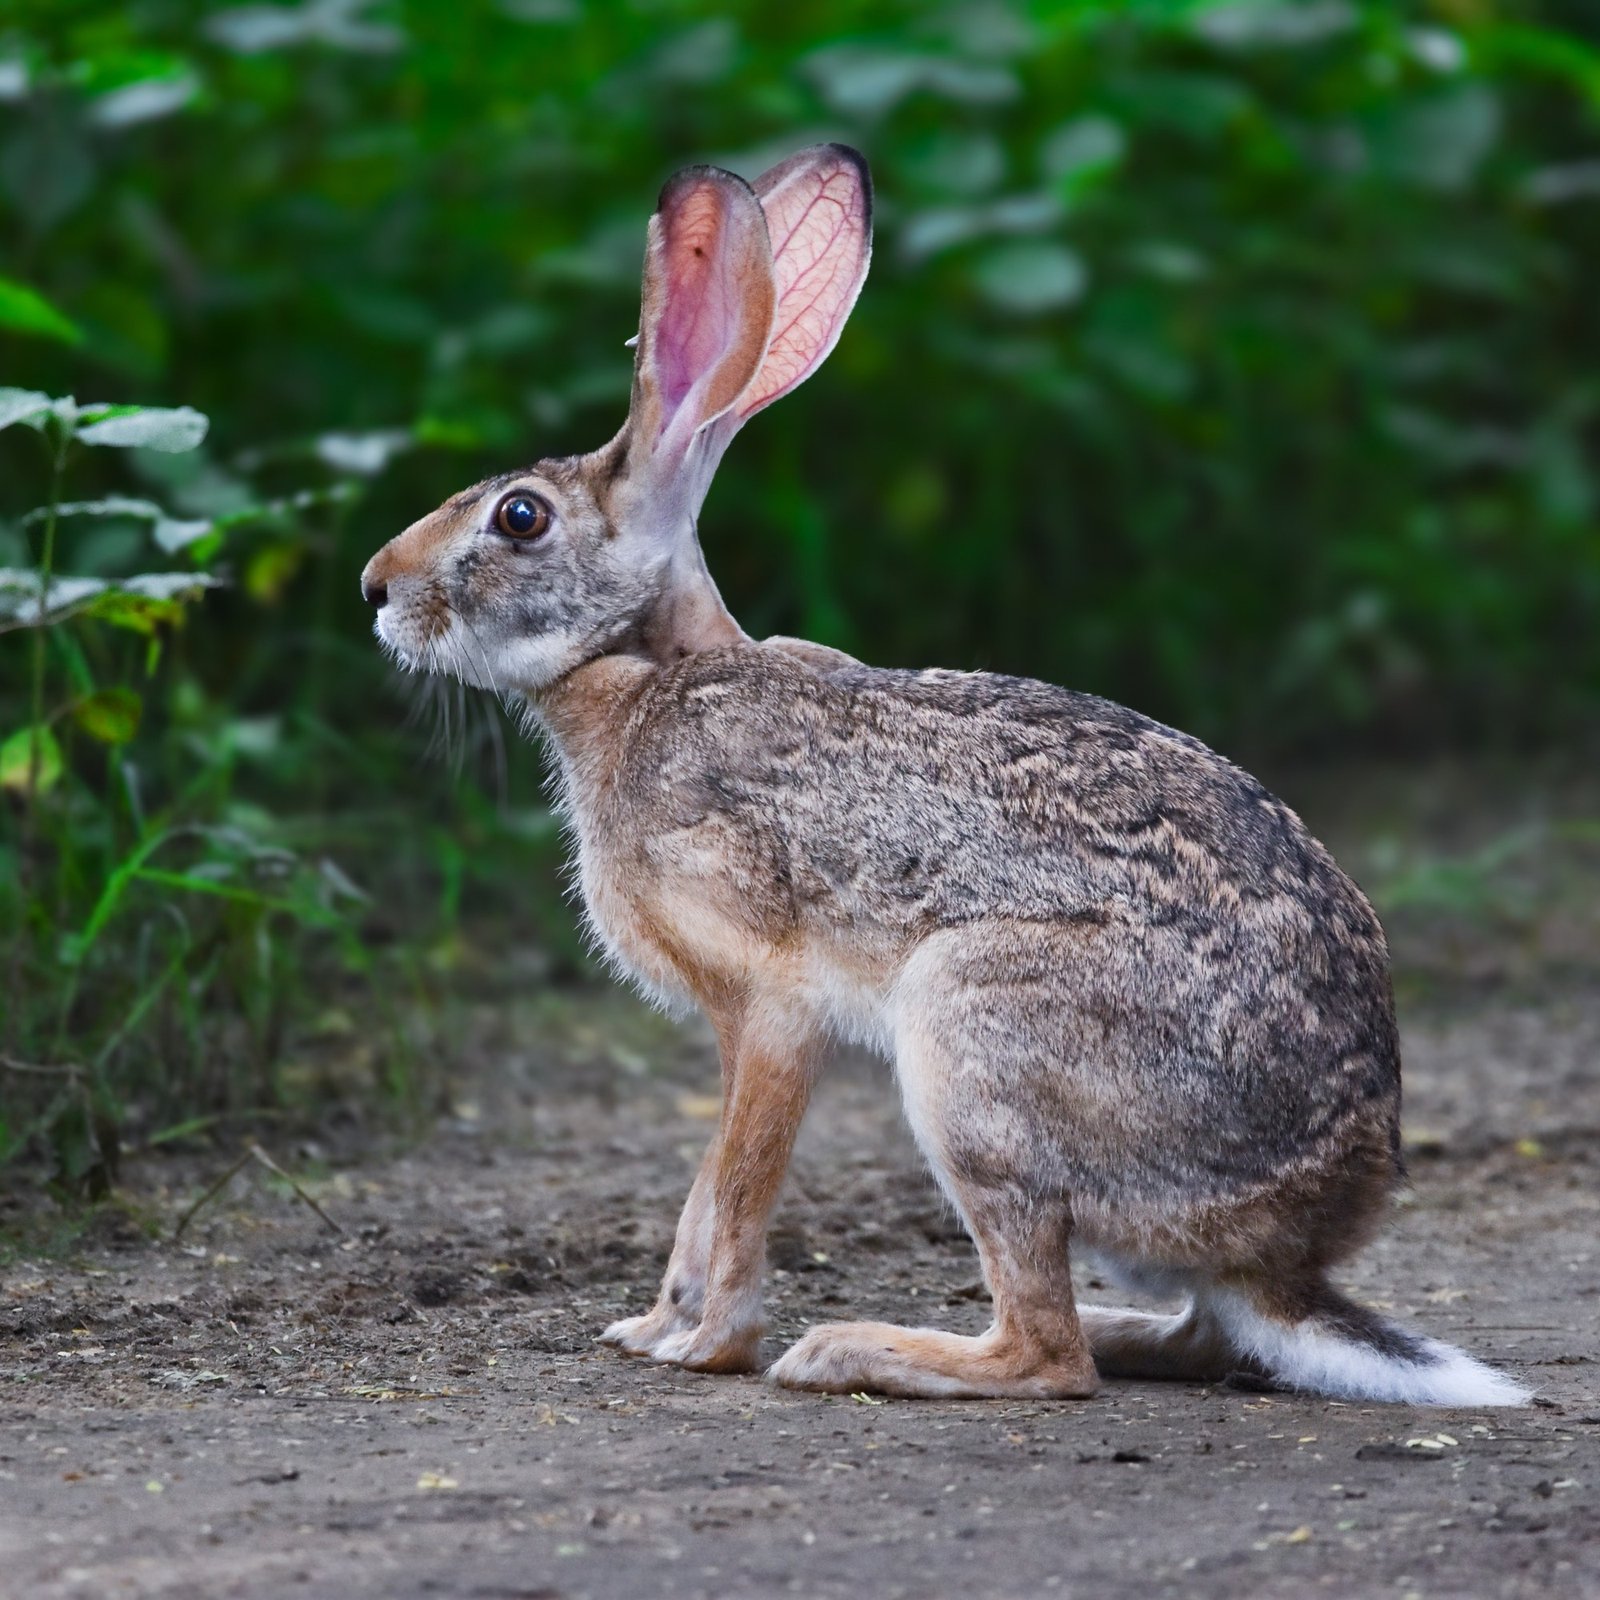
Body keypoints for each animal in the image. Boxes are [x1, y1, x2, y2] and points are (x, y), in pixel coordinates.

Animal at [360, 144, 1528, 1406]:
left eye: (519, 517)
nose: (376, 587)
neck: (642, 668)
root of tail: (1290, 1240)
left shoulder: (768, 1002)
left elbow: (735, 1177)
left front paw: (707, 1342)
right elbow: (704, 1183)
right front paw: (649, 1325)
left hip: (968, 1032)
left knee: (1046, 1352)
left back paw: (853, 1349)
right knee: (1195, 1337)